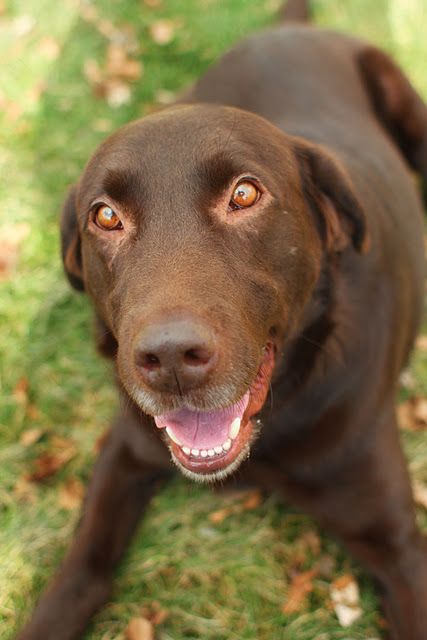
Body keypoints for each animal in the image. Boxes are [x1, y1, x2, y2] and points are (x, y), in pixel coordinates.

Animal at [18, 1, 427, 640]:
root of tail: (291, 29)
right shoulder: (124, 451)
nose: (169, 358)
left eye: (244, 194)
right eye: (105, 216)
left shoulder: (401, 548)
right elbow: (81, 571)